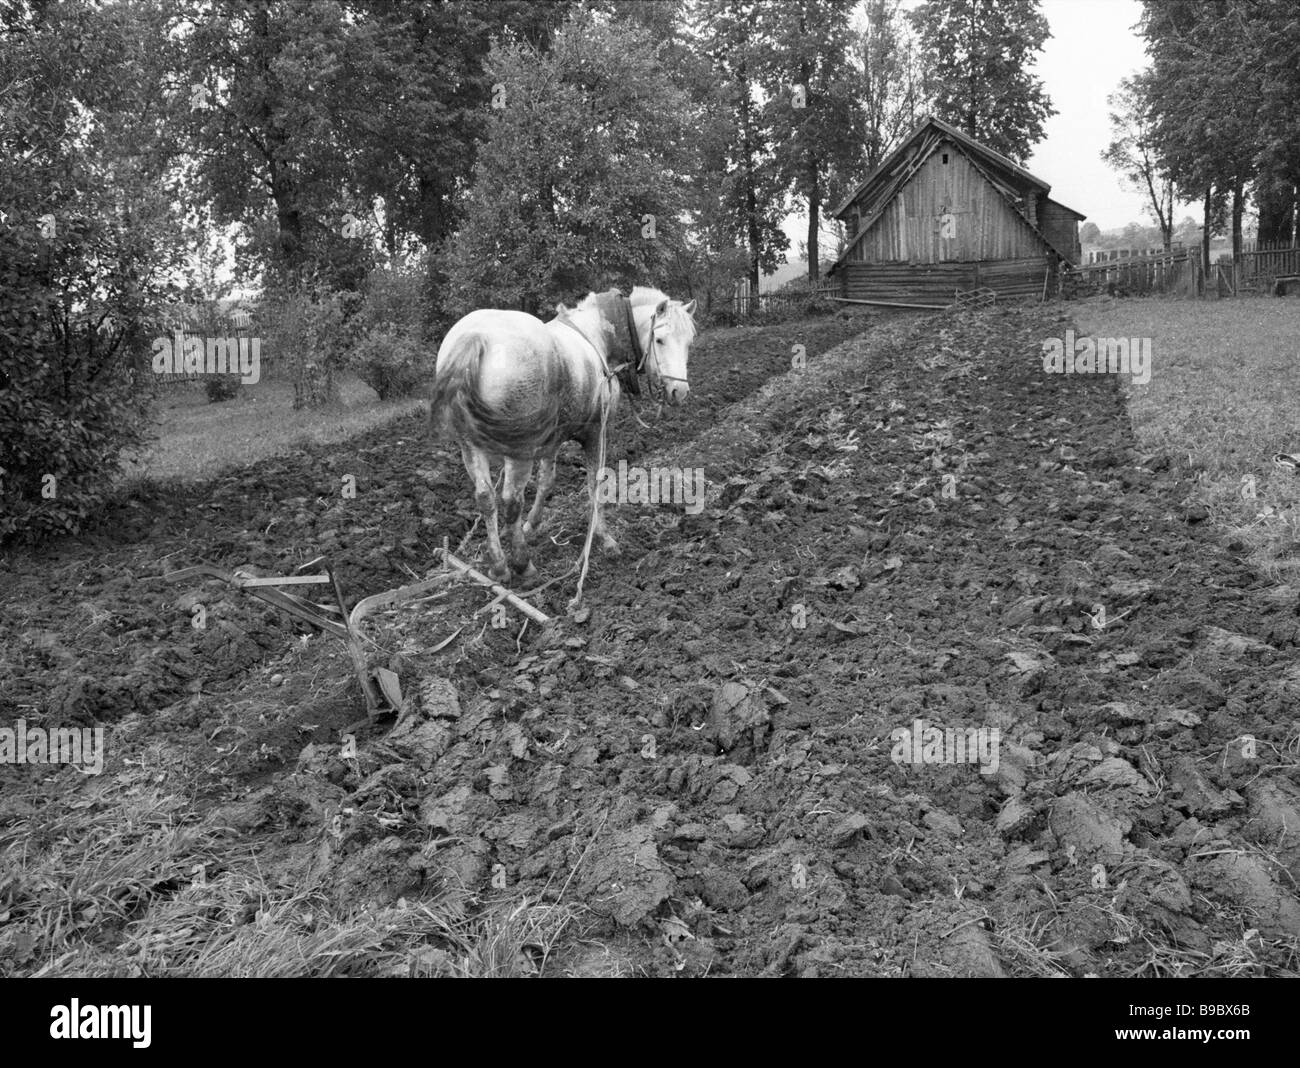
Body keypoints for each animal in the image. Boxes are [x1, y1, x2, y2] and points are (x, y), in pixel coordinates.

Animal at [429, 286, 697, 582]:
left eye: (689, 342)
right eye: (659, 339)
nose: (679, 392)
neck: (597, 336)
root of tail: (475, 337)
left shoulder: (553, 439)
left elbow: (547, 481)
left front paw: (531, 526)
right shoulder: (598, 431)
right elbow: (595, 483)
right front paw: (604, 539)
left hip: (470, 445)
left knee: (486, 498)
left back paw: (499, 565)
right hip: (519, 449)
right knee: (510, 500)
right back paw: (522, 564)